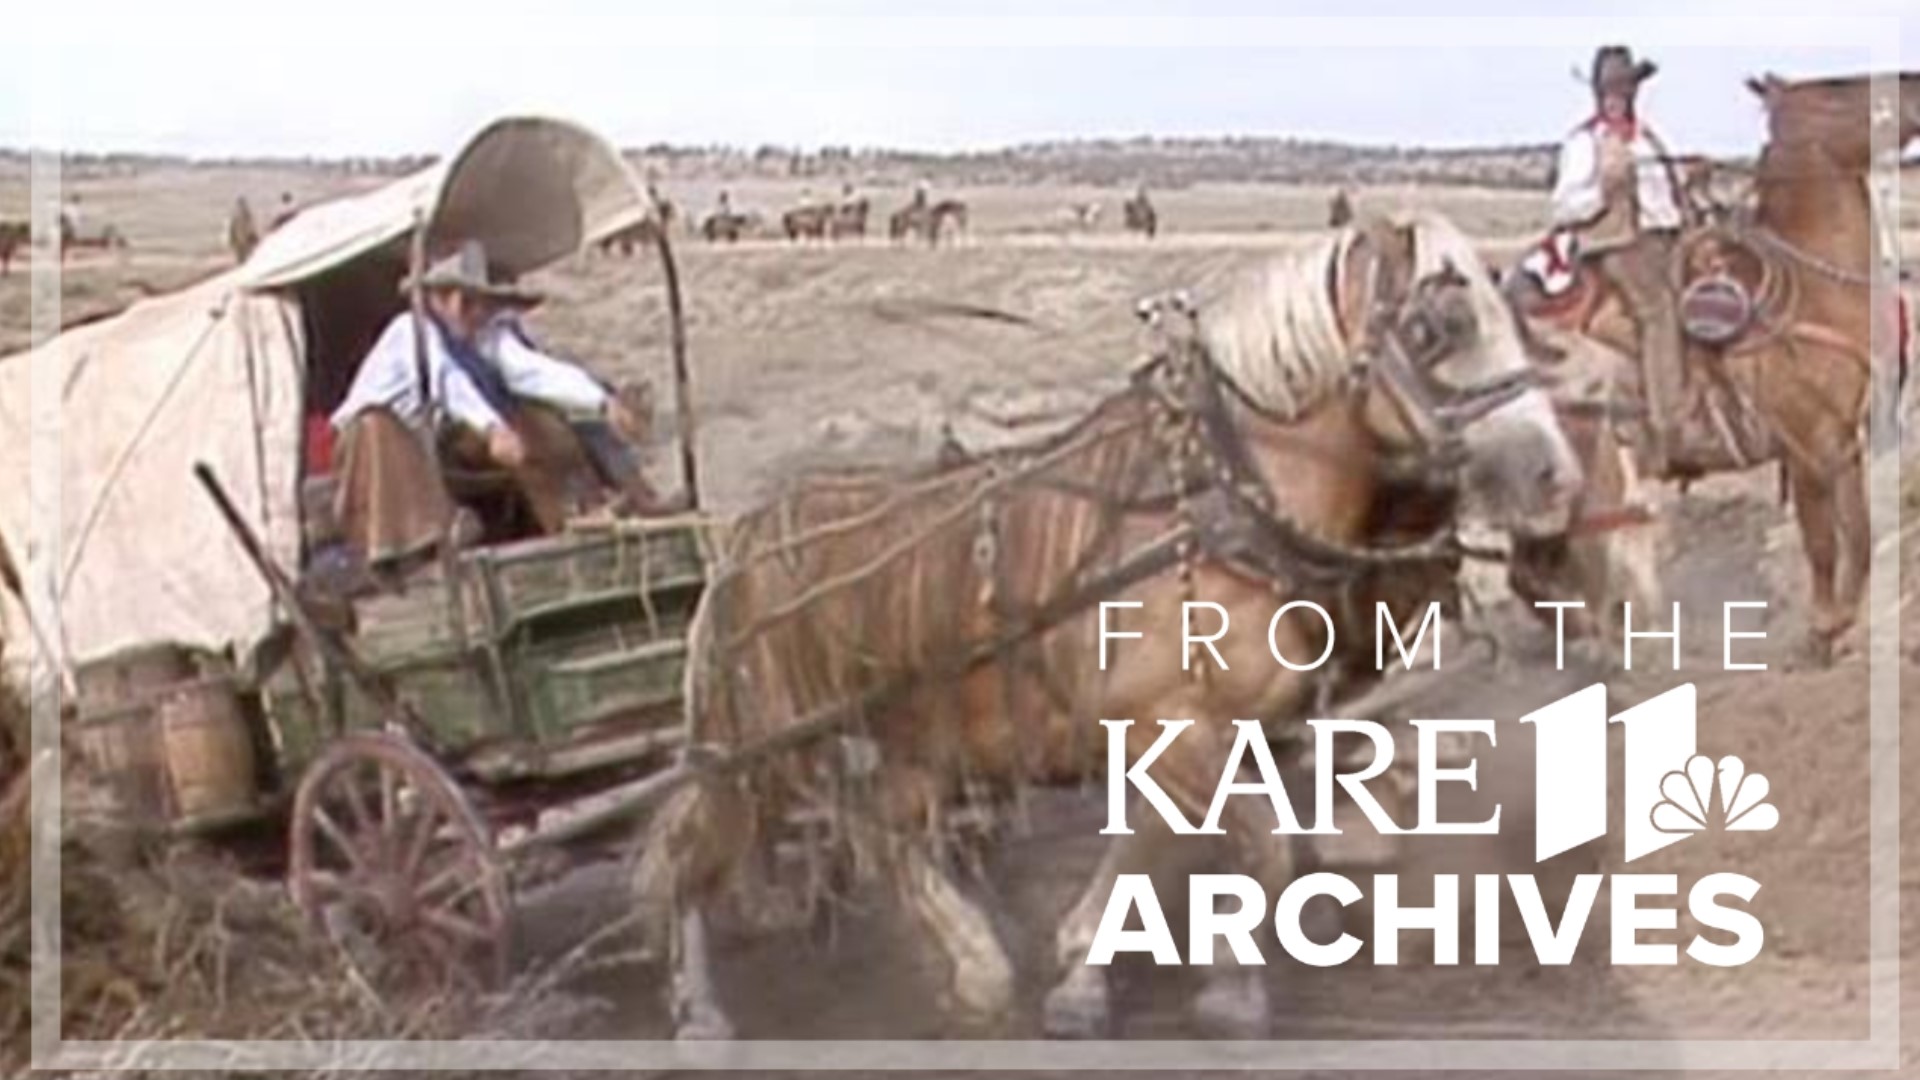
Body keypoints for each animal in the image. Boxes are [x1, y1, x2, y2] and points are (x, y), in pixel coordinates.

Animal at [637, 210, 1582, 1037]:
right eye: (1441, 323)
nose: (1557, 479)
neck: (1222, 499)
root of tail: (744, 538)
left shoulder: (1216, 733)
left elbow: (1205, 846)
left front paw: (1155, 976)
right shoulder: (1172, 726)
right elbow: (1235, 843)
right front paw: (1145, 982)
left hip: (904, 734)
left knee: (886, 833)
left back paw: (976, 965)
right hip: (761, 745)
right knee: (692, 849)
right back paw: (701, 1010)